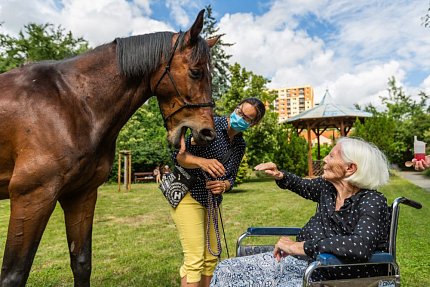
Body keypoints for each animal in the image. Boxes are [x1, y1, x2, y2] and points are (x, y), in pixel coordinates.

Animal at [0, 9, 217, 287]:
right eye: (196, 72)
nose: (208, 132)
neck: (71, 103)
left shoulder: (81, 195)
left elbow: (82, 263)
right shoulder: (31, 197)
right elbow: (14, 274)